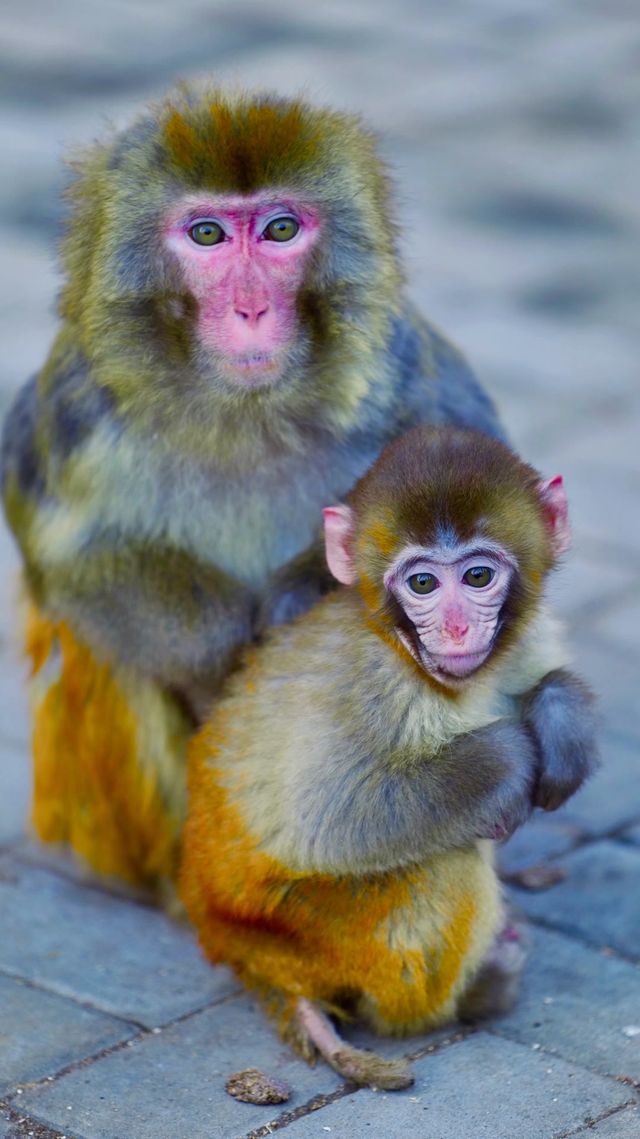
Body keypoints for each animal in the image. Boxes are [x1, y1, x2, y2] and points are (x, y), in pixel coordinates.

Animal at [1, 88, 519, 902]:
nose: (249, 308)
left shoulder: (402, 372)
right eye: (207, 234)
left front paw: (292, 606)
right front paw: (225, 654)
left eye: (280, 230)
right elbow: (64, 553)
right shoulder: (82, 404)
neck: (244, 411)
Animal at [177, 425, 592, 1084]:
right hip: (314, 936)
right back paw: (457, 1000)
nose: (455, 629)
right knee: (446, 863)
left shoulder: (527, 640)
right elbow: (330, 823)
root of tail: (238, 950)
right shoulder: (370, 688)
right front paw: (507, 756)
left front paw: (560, 714)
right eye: (422, 584)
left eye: (478, 576)